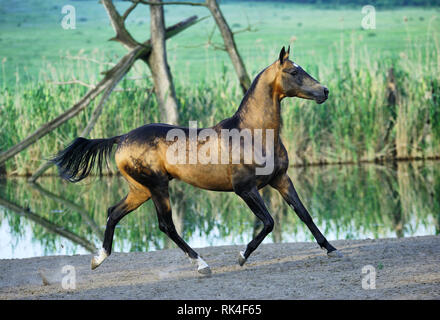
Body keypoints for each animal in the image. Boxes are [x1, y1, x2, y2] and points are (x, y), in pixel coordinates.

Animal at [50, 47, 340, 276]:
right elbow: (268, 222)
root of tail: (121, 138)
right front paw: (241, 256)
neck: (253, 134)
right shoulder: (245, 189)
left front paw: (332, 249)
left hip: (140, 190)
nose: (324, 91)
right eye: (293, 72)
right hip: (157, 187)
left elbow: (304, 213)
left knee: (113, 212)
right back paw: (201, 264)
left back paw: (98, 259)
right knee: (166, 225)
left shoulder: (281, 179)